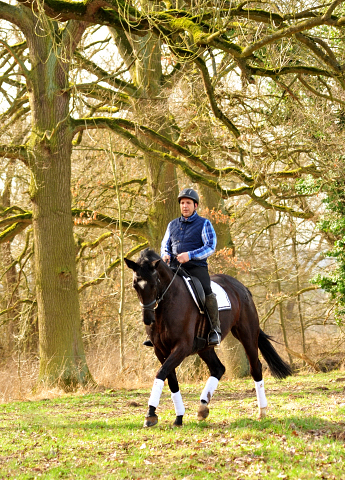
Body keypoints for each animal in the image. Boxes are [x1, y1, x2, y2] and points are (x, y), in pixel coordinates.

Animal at [124, 249, 290, 426]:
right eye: (135, 285)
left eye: (154, 283)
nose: (148, 319)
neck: (167, 304)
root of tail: (241, 287)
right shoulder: (160, 350)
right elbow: (171, 379)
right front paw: (178, 417)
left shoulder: (182, 347)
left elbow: (161, 373)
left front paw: (150, 414)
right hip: (204, 346)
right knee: (218, 368)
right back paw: (203, 407)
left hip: (247, 334)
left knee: (255, 367)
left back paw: (262, 411)